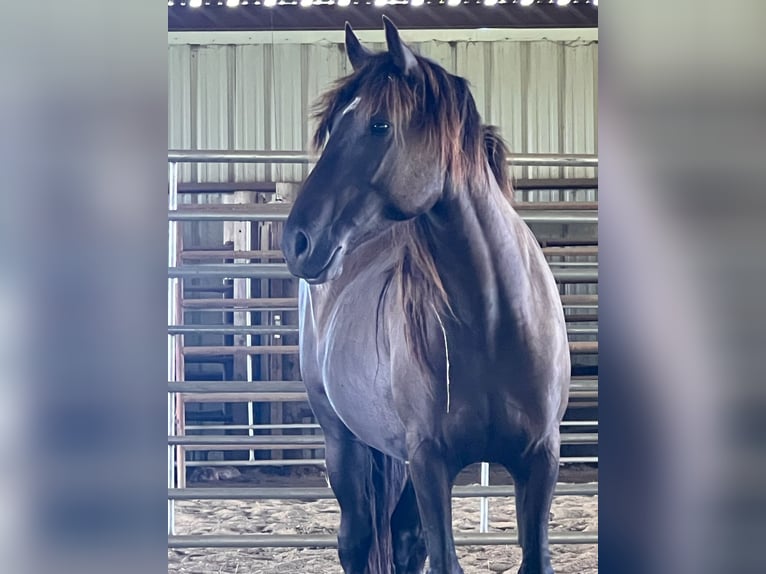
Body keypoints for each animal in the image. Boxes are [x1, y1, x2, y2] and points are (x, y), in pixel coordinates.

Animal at [282, 17, 570, 574]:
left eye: (378, 125)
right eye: (330, 129)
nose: (297, 241)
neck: (495, 324)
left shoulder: (541, 461)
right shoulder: (431, 464)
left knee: (405, 541)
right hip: (343, 442)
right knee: (356, 540)